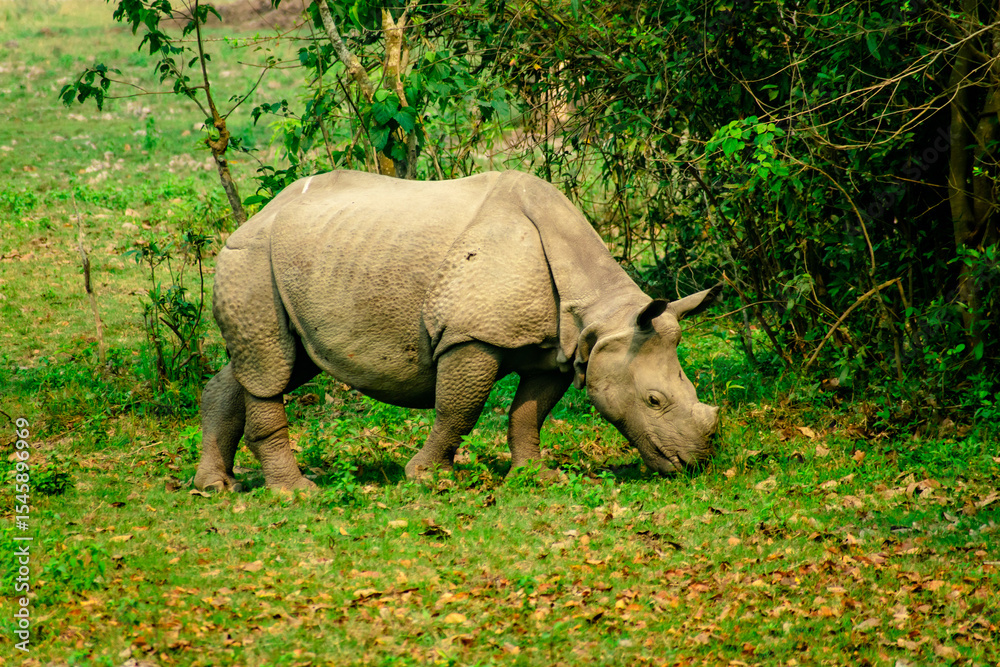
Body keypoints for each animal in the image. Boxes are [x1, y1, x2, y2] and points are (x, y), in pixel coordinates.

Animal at [193, 170, 721, 491]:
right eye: (654, 400)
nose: (696, 463)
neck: (601, 316)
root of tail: (255, 216)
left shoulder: (556, 347)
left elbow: (528, 413)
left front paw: (537, 476)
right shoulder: (472, 336)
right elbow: (458, 409)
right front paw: (429, 479)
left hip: (307, 259)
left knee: (271, 365)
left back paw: (217, 486)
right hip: (252, 258)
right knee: (269, 370)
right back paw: (296, 492)